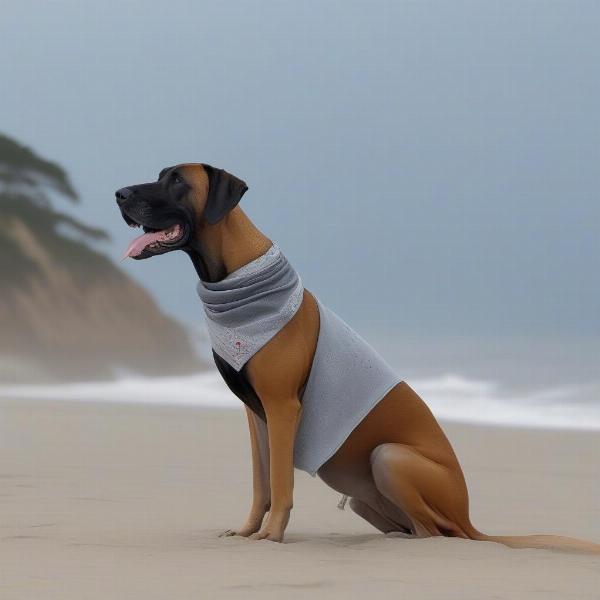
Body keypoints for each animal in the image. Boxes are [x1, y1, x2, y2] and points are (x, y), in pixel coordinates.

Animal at [116, 164, 600, 552]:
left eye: (177, 180)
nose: (119, 193)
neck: (237, 280)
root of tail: (471, 519)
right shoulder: (257, 416)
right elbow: (261, 483)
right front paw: (250, 530)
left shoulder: (282, 408)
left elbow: (282, 483)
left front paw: (271, 536)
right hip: (365, 500)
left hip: (390, 457)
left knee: (435, 533)